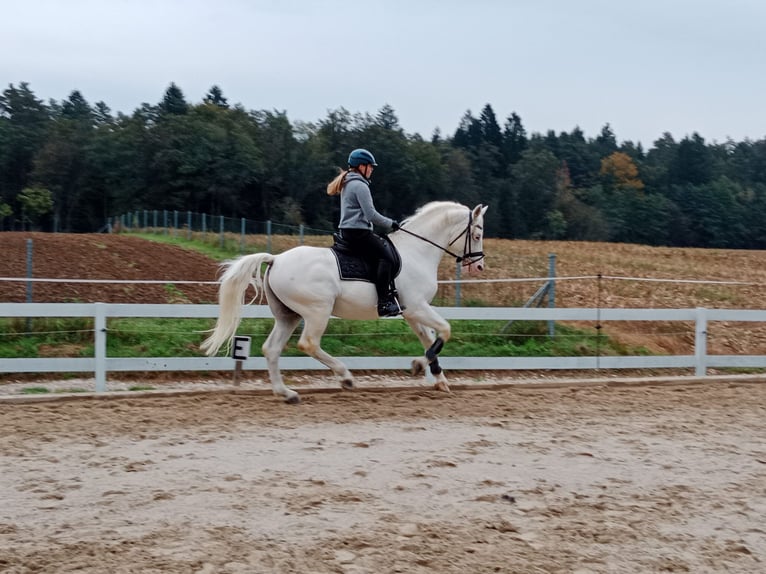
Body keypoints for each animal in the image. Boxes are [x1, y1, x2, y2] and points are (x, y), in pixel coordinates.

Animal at [204, 202, 488, 404]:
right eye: (477, 234)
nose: (479, 266)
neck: (417, 252)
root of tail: (276, 259)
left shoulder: (411, 312)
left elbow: (430, 340)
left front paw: (439, 380)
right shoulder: (418, 307)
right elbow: (445, 331)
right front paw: (419, 365)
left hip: (288, 315)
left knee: (272, 349)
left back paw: (286, 393)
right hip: (317, 311)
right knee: (308, 343)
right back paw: (345, 377)